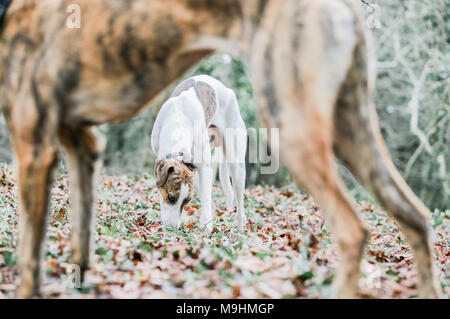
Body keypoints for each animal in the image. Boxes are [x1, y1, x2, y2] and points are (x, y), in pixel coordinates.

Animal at [150, 75, 246, 231]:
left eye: (186, 202)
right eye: (171, 197)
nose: (173, 229)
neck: (178, 119)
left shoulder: (204, 168)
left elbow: (206, 199)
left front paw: (206, 228)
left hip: (236, 166)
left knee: (240, 205)